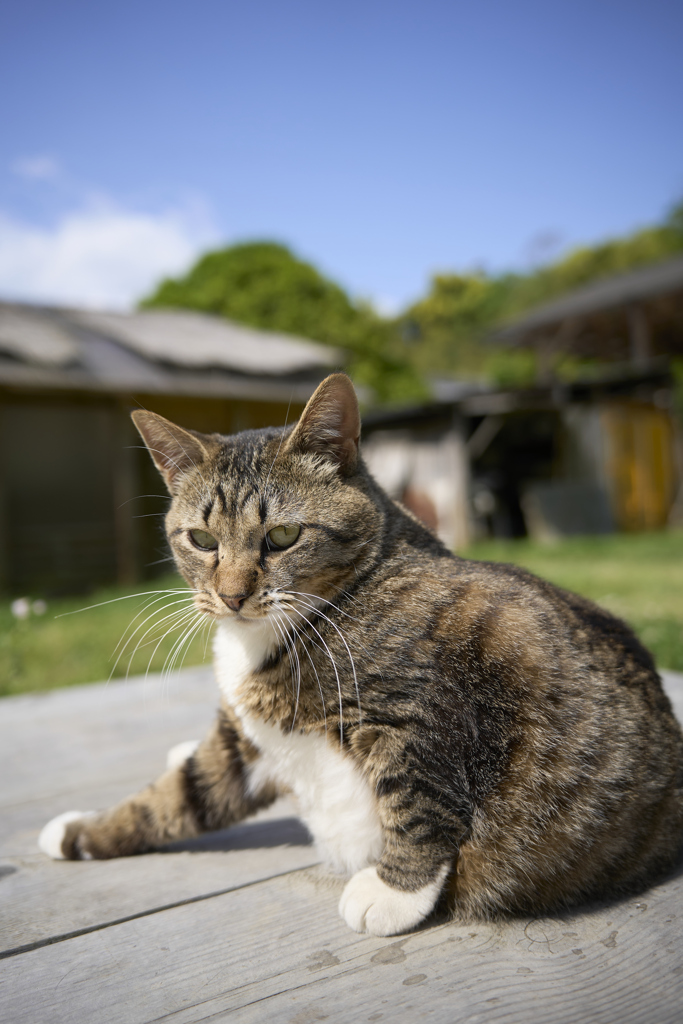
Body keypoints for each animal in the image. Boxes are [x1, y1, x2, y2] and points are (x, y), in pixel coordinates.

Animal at [37, 372, 683, 933]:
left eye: (283, 536)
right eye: (200, 538)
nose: (232, 596)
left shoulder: (420, 712)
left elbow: (419, 797)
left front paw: (392, 893)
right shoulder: (240, 746)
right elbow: (175, 799)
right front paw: (80, 833)